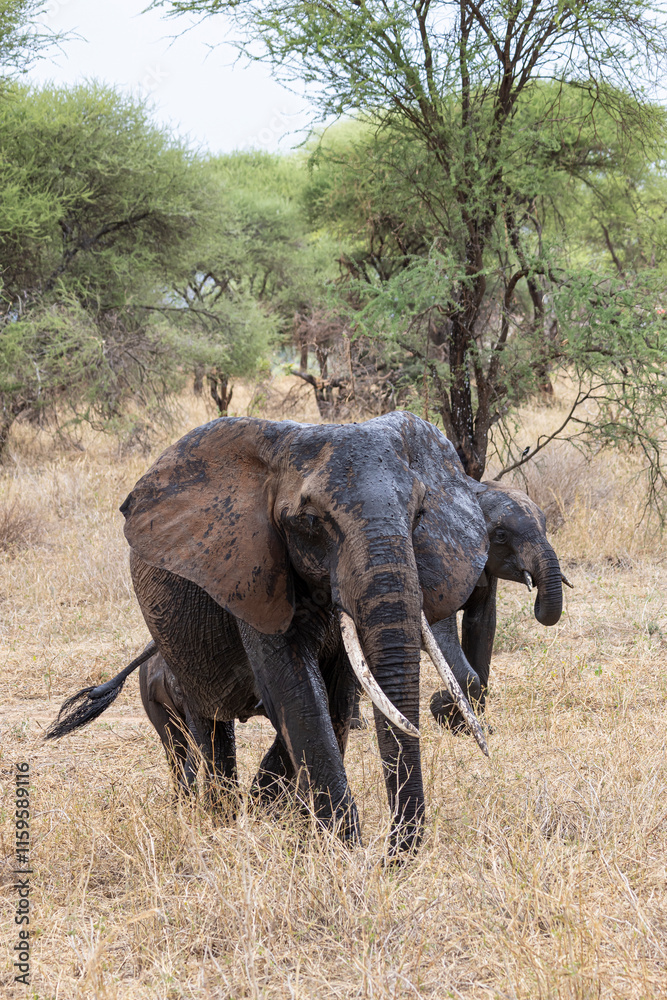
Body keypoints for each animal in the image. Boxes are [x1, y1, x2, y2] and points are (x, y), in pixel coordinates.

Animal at [46, 411, 490, 856]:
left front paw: (284, 818)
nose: (391, 858)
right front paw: (338, 849)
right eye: (310, 521)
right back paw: (221, 820)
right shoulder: (251, 571)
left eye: (419, 515)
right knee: (208, 722)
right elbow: (296, 693)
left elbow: (335, 696)